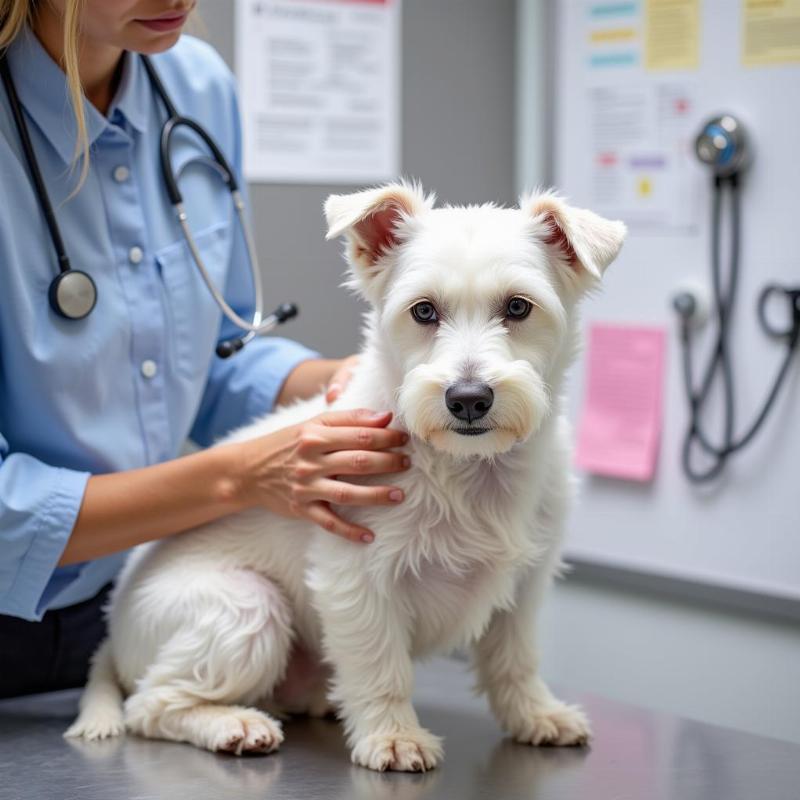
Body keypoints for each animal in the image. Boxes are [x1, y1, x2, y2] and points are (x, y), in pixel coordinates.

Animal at [64, 180, 624, 768]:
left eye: (518, 306)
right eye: (423, 311)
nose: (468, 398)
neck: (467, 468)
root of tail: (113, 633)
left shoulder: (525, 586)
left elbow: (515, 659)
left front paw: (534, 714)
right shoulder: (357, 578)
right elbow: (381, 667)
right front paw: (394, 736)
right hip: (247, 608)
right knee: (150, 704)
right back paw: (231, 725)